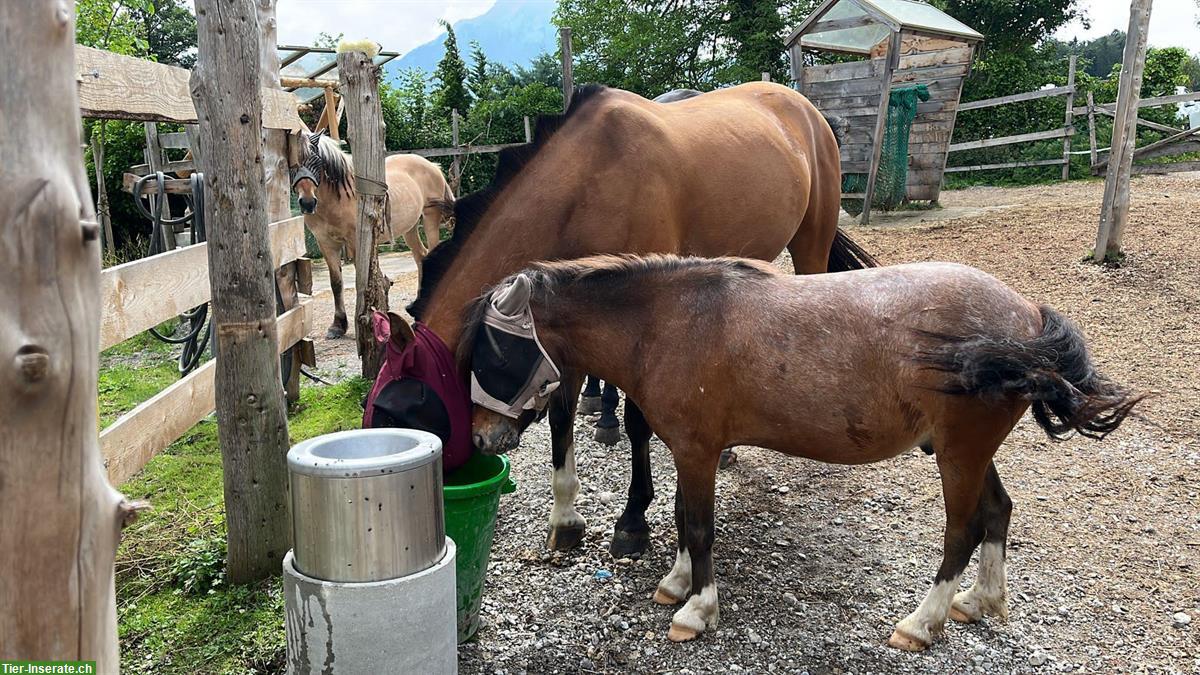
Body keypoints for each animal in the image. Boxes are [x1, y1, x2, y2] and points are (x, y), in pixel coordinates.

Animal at [288, 131, 456, 338]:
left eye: (317, 161)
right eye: (292, 164)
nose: (308, 202)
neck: (338, 196)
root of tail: (432, 166)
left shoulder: (356, 241)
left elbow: (362, 281)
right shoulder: (326, 243)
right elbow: (336, 283)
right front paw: (338, 325)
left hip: (430, 218)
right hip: (410, 228)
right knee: (421, 256)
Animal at [403, 82, 873, 557]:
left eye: (411, 412)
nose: (481, 441)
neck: (589, 180)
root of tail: (807, 110)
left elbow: (636, 421)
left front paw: (632, 519)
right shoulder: (559, 322)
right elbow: (561, 415)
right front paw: (565, 518)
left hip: (810, 244)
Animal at [460, 253, 1142, 648]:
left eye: (495, 353)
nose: (482, 437)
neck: (670, 322)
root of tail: (1026, 317)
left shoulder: (700, 450)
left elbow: (699, 526)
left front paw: (698, 610)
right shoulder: (688, 450)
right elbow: (683, 520)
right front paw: (677, 583)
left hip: (959, 452)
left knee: (963, 529)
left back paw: (922, 622)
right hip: (969, 449)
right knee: (998, 511)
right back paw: (979, 601)